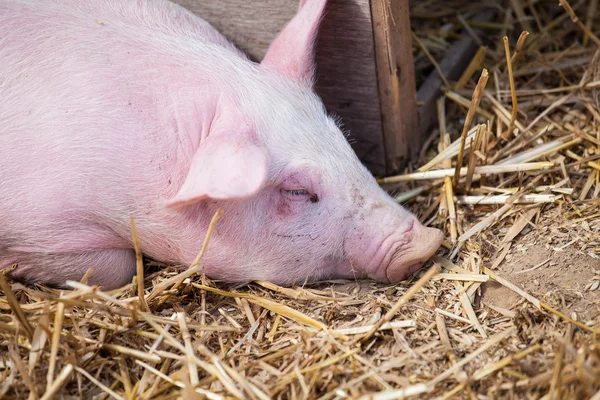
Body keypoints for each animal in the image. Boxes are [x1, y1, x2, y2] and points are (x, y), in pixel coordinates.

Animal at [0, 0, 440, 290]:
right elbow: (119, 268)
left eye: (343, 143)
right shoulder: (47, 221)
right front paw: (13, 265)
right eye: (298, 191)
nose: (425, 243)